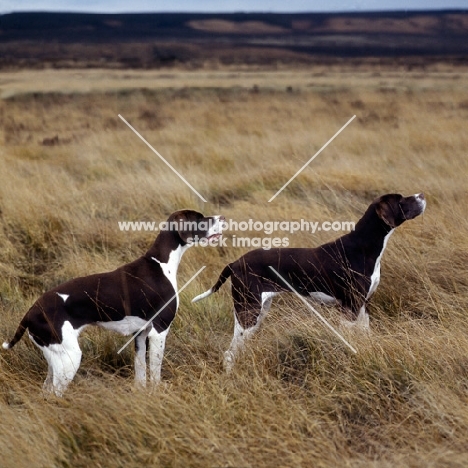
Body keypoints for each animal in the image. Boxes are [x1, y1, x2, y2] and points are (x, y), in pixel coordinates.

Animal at [2, 210, 224, 396]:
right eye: (200, 218)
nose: (222, 218)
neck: (161, 264)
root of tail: (31, 312)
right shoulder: (159, 331)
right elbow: (155, 374)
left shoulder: (140, 335)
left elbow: (141, 374)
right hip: (69, 358)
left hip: (55, 358)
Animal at [192, 193, 426, 370]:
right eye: (401, 200)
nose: (421, 195)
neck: (364, 247)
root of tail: (234, 263)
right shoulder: (349, 307)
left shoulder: (363, 305)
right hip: (248, 311)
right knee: (229, 353)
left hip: (257, 311)